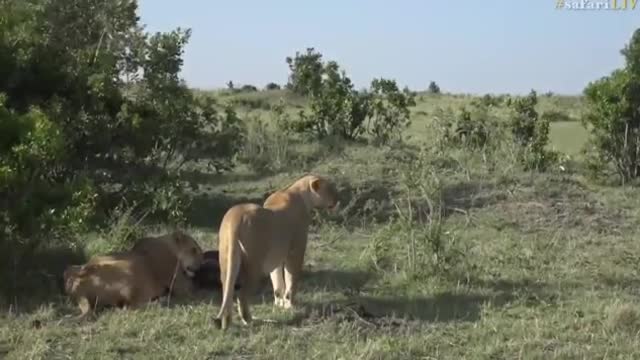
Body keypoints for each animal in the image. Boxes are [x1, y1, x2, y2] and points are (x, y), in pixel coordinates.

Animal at [62, 231, 202, 318]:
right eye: (193, 250)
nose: (201, 263)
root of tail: (77, 282)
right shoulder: (181, 284)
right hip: (130, 272)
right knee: (130, 307)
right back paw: (161, 301)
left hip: (70, 269)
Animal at [214, 174, 338, 330]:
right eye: (330, 189)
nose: (337, 199)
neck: (298, 192)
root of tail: (234, 220)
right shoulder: (295, 251)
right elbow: (291, 279)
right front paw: (290, 306)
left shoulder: (276, 256)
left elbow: (277, 281)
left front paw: (279, 305)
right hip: (254, 264)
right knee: (241, 293)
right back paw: (248, 319)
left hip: (226, 259)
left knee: (227, 289)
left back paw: (227, 322)